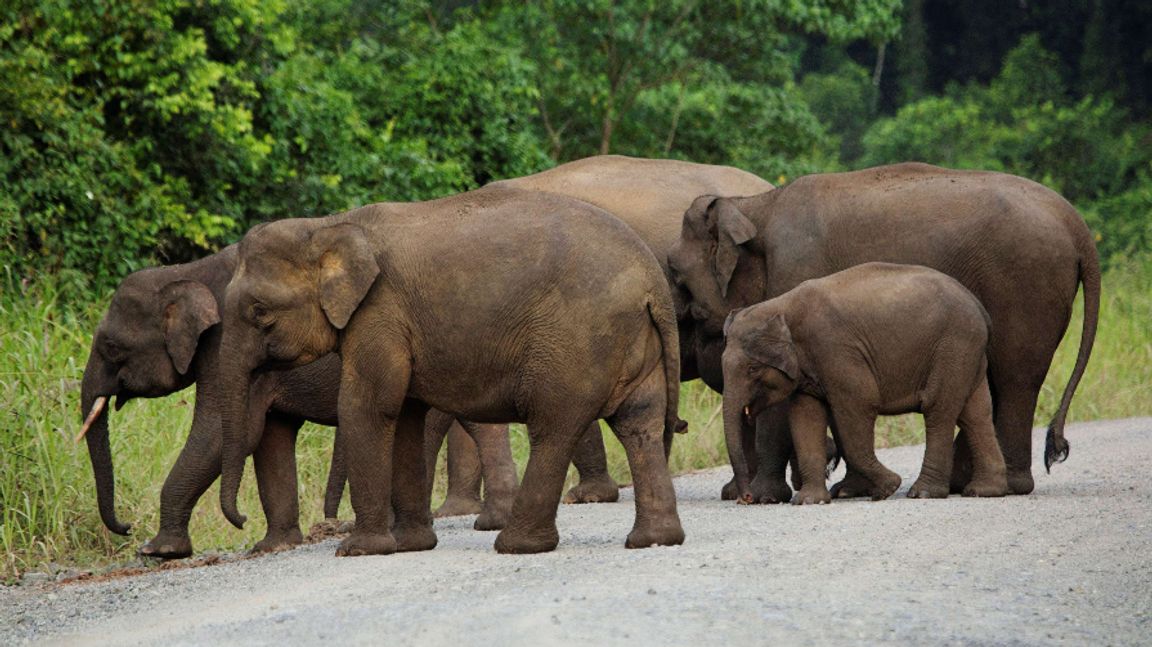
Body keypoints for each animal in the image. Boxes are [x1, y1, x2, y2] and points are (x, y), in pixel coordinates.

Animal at [78, 244, 516, 557]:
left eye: (112, 347)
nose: (126, 528)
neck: (187, 271)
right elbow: (270, 437)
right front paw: (272, 547)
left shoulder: (226, 345)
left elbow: (222, 432)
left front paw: (158, 551)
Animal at [718, 262, 1009, 504]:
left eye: (752, 369)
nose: (745, 498)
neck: (780, 306)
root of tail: (981, 310)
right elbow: (805, 418)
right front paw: (810, 501)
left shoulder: (836, 350)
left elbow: (857, 408)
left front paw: (888, 488)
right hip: (968, 353)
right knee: (976, 413)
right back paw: (984, 491)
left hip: (953, 347)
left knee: (938, 410)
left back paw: (923, 493)